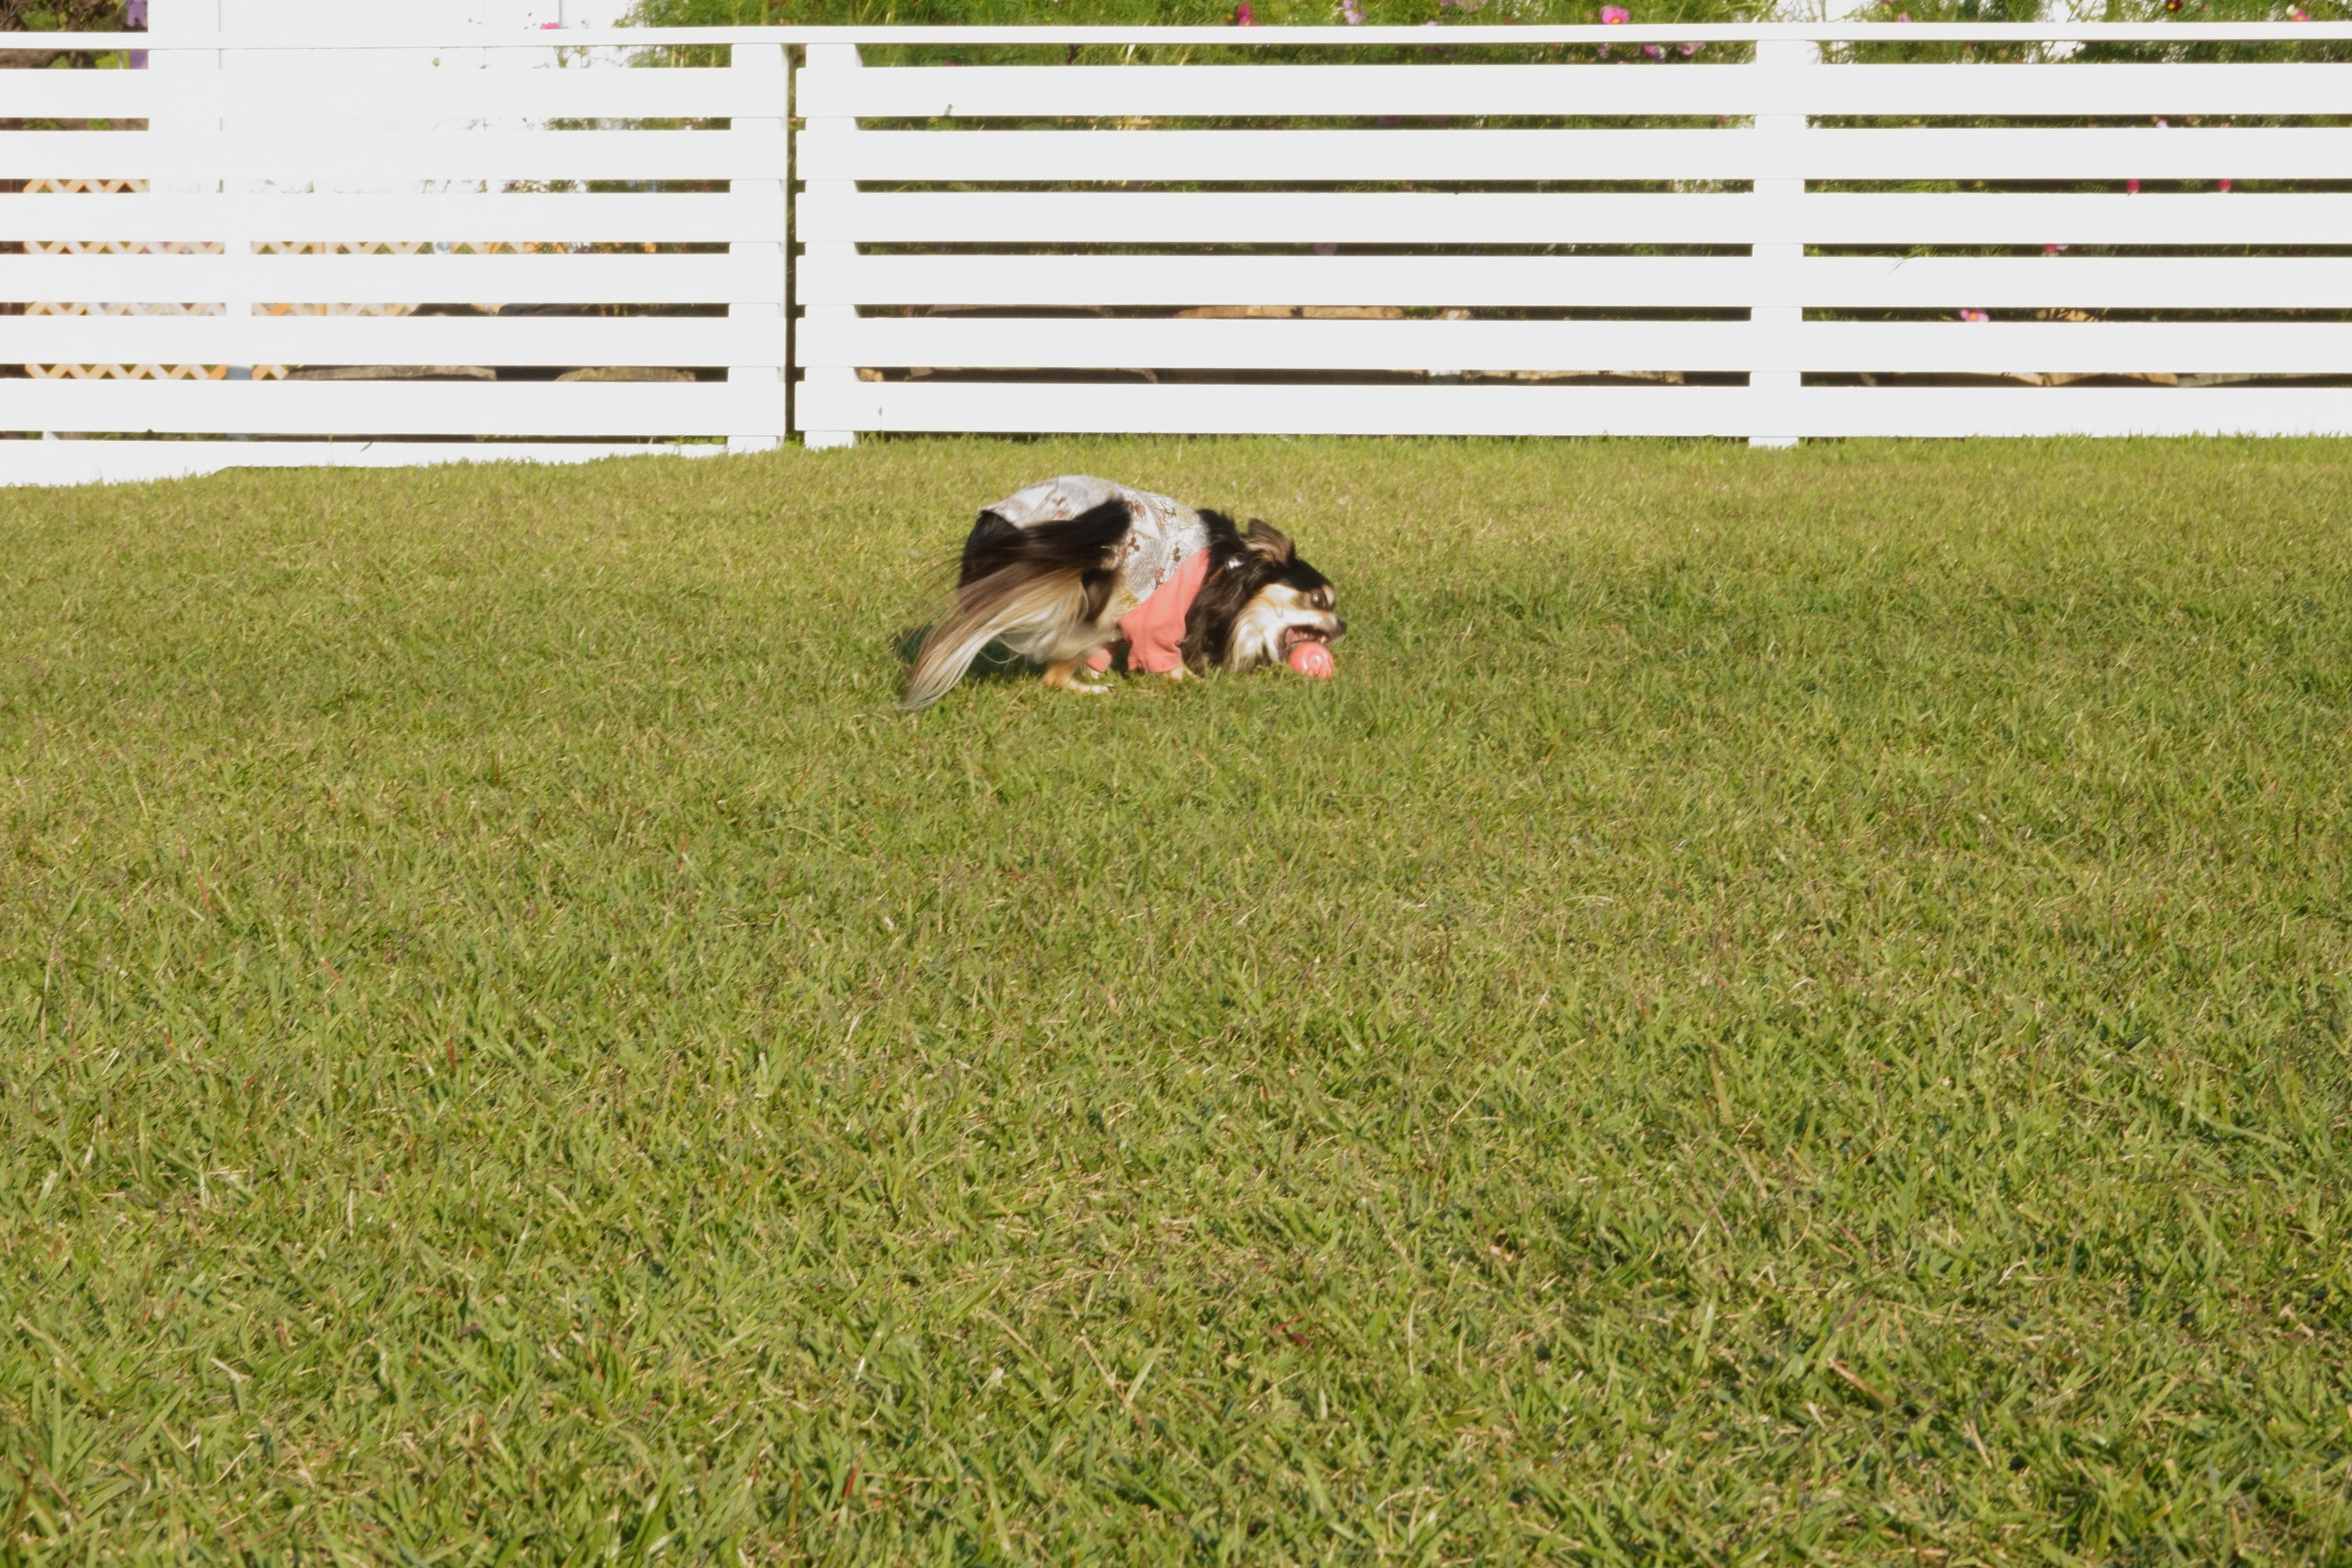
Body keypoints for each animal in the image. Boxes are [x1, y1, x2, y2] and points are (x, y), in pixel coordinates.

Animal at [893, 475, 1344, 714]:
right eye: (1320, 601)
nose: (1342, 626)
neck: (1228, 570)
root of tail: (998, 527)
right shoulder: (1160, 613)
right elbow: (1167, 658)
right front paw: (1195, 683)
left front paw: (1098, 673)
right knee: (1055, 671)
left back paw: (1089, 685)